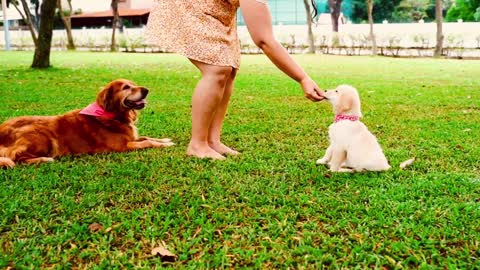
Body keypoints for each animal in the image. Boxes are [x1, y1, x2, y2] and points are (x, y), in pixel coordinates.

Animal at [0, 78, 174, 168]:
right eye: (126, 87)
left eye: (134, 84)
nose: (146, 90)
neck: (113, 115)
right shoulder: (122, 146)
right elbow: (147, 142)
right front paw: (164, 145)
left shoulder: (131, 138)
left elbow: (147, 137)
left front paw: (165, 140)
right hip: (43, 135)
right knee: (16, 157)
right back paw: (43, 159)